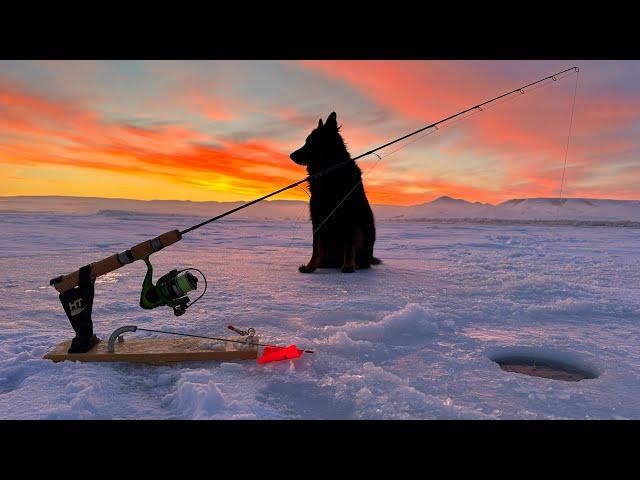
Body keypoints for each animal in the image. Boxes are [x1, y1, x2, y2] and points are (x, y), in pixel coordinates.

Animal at [290, 110, 380, 272]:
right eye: (306, 141)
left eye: (310, 142)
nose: (291, 155)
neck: (330, 171)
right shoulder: (317, 216)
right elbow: (315, 246)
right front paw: (310, 266)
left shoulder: (349, 216)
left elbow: (349, 244)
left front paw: (349, 265)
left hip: (362, 231)